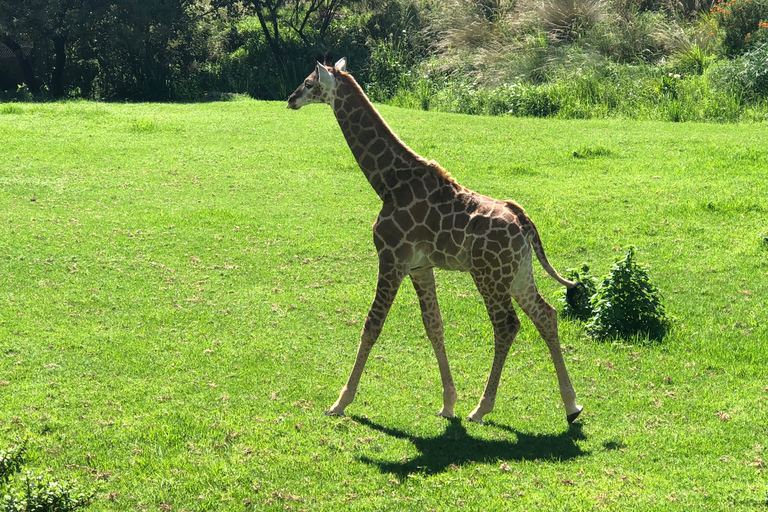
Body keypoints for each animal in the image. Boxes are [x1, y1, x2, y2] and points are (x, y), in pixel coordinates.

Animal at [286, 58, 584, 424]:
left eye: (309, 82)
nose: (290, 99)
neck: (387, 182)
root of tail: (525, 223)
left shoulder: (392, 258)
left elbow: (372, 324)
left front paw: (340, 402)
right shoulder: (419, 266)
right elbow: (434, 326)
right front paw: (448, 403)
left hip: (489, 276)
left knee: (507, 325)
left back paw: (482, 408)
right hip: (518, 274)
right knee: (546, 315)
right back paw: (571, 406)